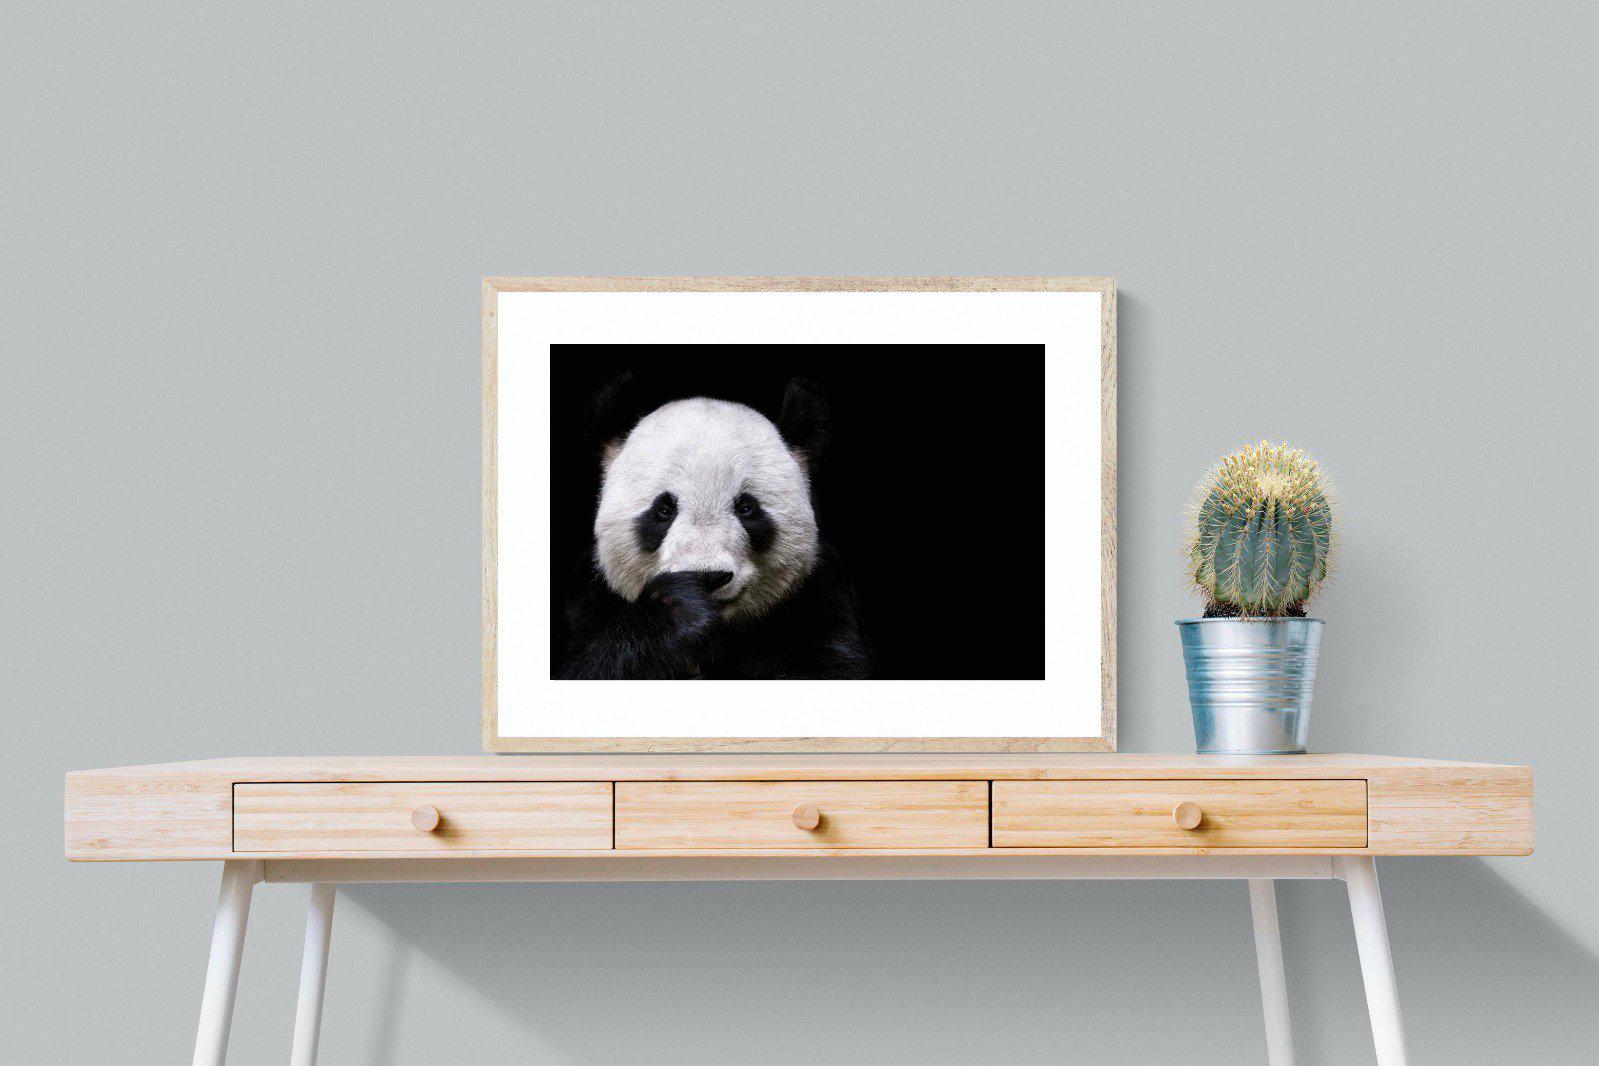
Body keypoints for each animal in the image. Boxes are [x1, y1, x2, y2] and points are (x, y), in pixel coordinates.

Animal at [558, 376, 873, 679]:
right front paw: (678, 609)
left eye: (746, 508)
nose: (707, 576)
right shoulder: (589, 601)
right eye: (664, 510)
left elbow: (831, 667)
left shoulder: (820, 599)